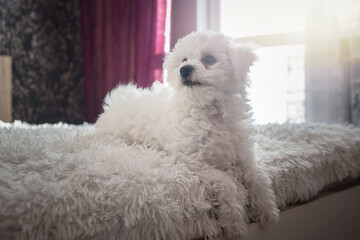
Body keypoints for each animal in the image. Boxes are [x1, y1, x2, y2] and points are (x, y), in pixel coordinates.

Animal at [95, 31, 278, 225]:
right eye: (184, 60)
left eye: (209, 59)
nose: (185, 69)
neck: (210, 111)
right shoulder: (191, 159)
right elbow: (227, 183)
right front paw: (234, 222)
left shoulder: (245, 154)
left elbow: (258, 177)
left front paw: (268, 211)